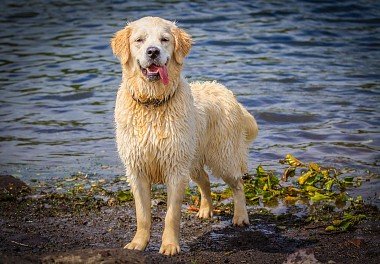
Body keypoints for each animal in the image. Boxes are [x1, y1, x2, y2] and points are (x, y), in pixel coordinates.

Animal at [110, 16, 258, 256]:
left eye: (164, 39)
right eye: (139, 40)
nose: (153, 51)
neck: (153, 103)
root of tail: (228, 93)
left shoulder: (175, 169)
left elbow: (171, 215)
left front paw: (170, 245)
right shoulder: (137, 169)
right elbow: (142, 215)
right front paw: (138, 243)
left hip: (222, 156)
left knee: (238, 183)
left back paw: (241, 216)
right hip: (192, 159)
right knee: (205, 180)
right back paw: (206, 210)